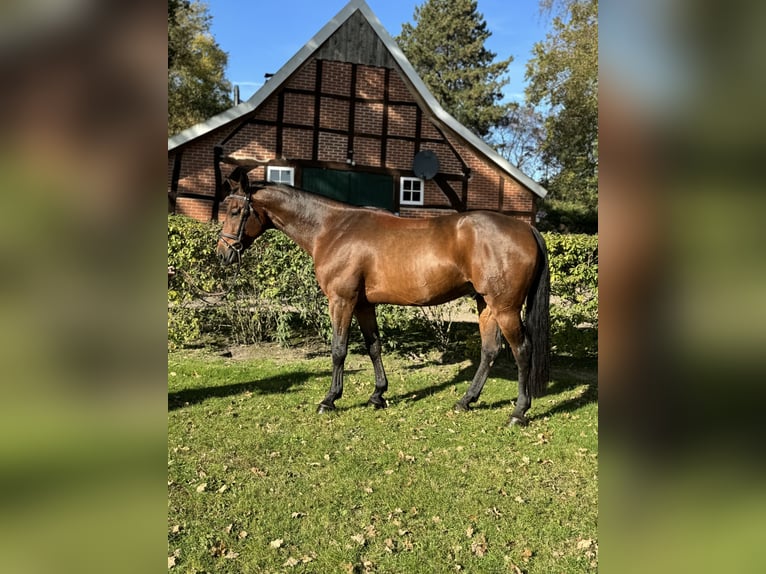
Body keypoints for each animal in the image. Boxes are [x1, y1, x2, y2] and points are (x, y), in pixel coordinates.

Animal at [218, 168, 552, 428]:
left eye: (235, 211)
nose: (223, 254)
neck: (332, 229)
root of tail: (526, 228)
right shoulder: (364, 304)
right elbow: (373, 346)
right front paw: (378, 395)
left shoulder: (341, 300)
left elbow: (339, 349)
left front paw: (330, 399)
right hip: (486, 304)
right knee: (490, 350)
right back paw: (465, 401)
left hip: (505, 307)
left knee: (522, 350)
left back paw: (519, 412)